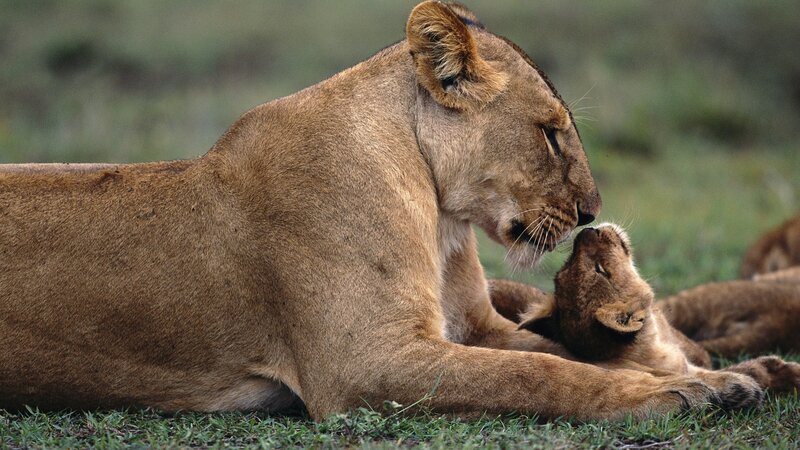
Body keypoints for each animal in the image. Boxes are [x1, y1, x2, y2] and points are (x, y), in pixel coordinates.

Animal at [0, 1, 758, 420]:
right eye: (549, 132)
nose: (590, 213)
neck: (440, 215)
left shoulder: (472, 326)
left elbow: (578, 355)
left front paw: (715, 381)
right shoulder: (365, 361)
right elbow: (542, 372)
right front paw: (666, 398)